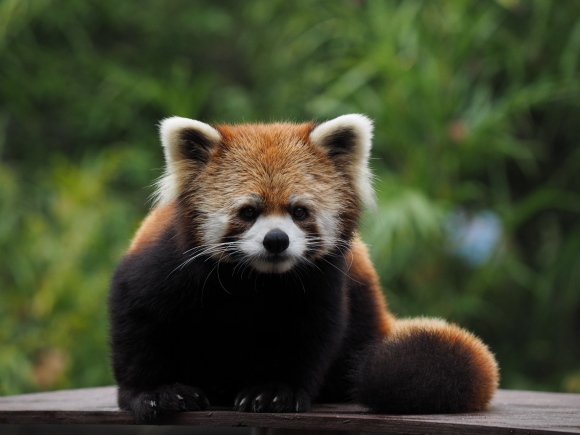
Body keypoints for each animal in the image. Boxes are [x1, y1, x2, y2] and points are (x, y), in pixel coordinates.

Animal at [110, 115, 498, 422]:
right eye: (248, 212)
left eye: (299, 212)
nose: (276, 240)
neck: (254, 282)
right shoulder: (161, 269)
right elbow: (139, 326)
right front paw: (155, 392)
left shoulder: (323, 283)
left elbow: (309, 336)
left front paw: (274, 390)